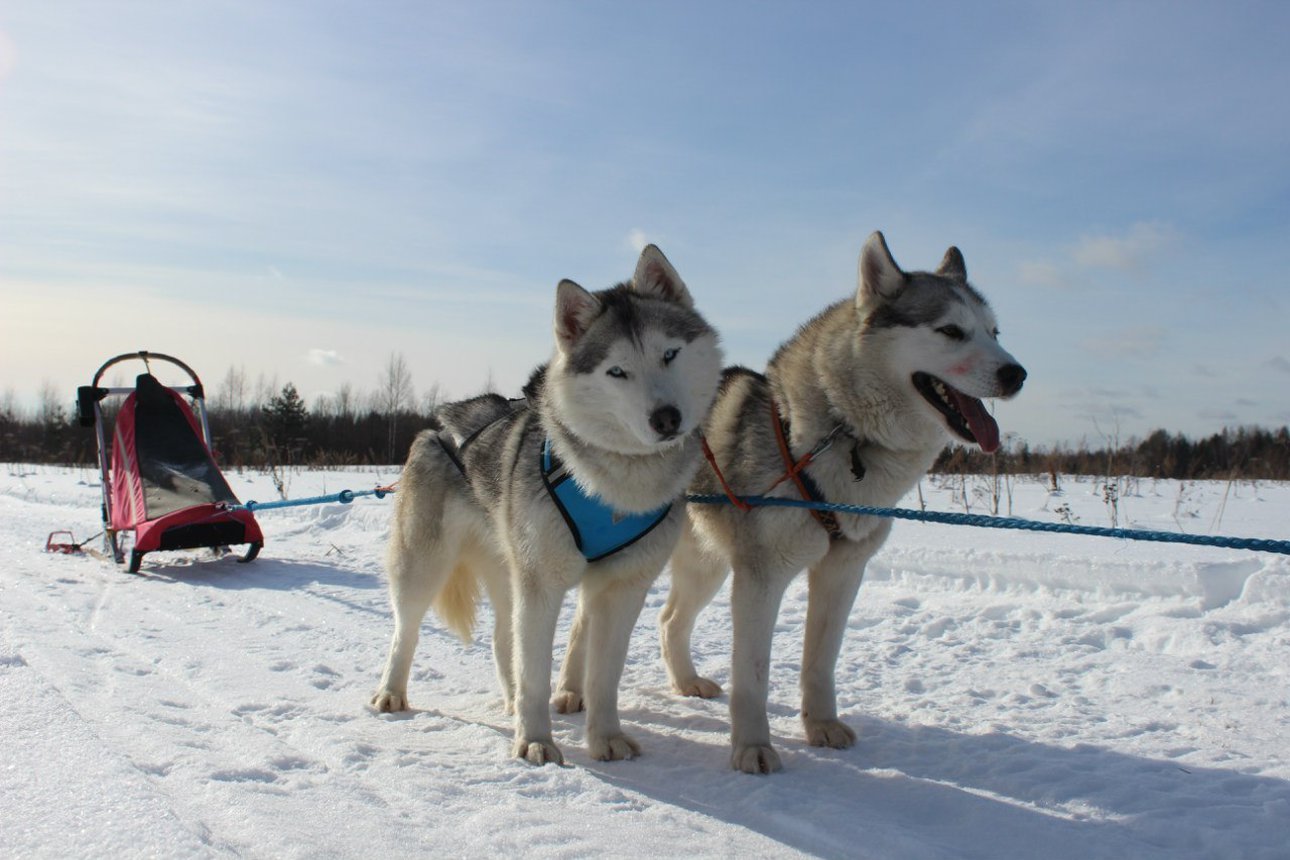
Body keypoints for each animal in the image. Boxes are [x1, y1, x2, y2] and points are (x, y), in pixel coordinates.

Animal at [371, 244, 727, 763]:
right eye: (617, 371)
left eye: (669, 354)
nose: (666, 418)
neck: (616, 486)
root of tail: (440, 424)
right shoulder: (541, 586)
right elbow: (537, 675)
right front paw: (536, 740)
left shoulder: (622, 589)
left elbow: (603, 676)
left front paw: (606, 738)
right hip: (424, 566)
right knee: (407, 630)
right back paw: (391, 692)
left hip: (508, 570)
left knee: (503, 639)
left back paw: (509, 700)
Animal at [655, 232, 1026, 778]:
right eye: (951, 330)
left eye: (994, 331)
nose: (1016, 373)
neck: (845, 435)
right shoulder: (761, 578)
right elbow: (753, 675)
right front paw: (752, 746)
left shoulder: (843, 572)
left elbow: (820, 662)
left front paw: (822, 725)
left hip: (707, 566)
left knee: (670, 621)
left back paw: (685, 683)